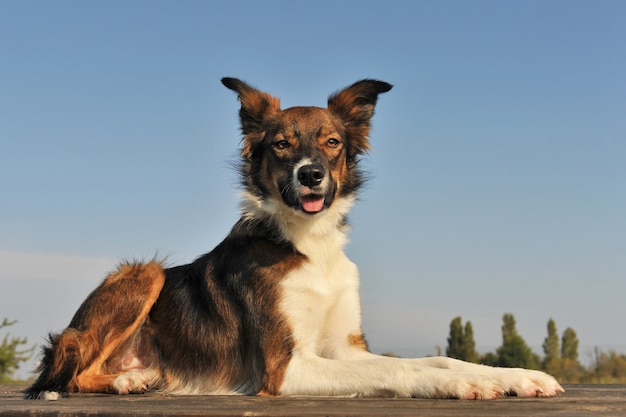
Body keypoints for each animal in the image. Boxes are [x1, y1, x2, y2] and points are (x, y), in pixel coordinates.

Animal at [25, 79, 560, 400]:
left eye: (332, 142)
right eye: (281, 144)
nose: (311, 175)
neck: (310, 245)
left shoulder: (345, 348)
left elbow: (438, 357)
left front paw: (513, 376)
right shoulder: (287, 367)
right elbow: (404, 370)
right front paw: (467, 382)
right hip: (143, 274)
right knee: (73, 373)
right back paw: (127, 380)